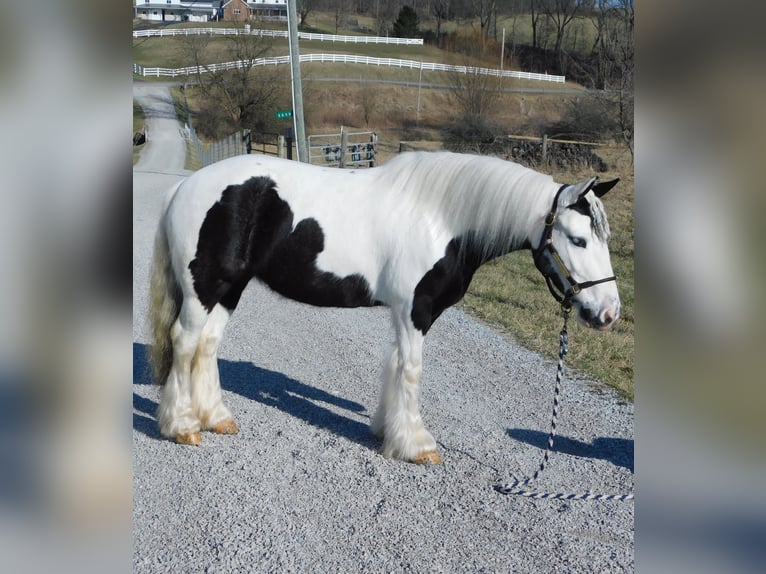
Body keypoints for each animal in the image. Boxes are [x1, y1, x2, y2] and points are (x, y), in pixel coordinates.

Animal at [150, 152, 624, 464]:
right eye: (578, 240)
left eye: (605, 238)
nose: (608, 314)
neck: (444, 219)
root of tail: (183, 187)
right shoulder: (416, 310)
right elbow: (411, 370)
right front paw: (417, 445)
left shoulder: (403, 313)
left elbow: (394, 366)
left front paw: (386, 428)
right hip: (204, 289)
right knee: (184, 342)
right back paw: (183, 427)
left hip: (229, 288)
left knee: (207, 345)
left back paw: (216, 418)